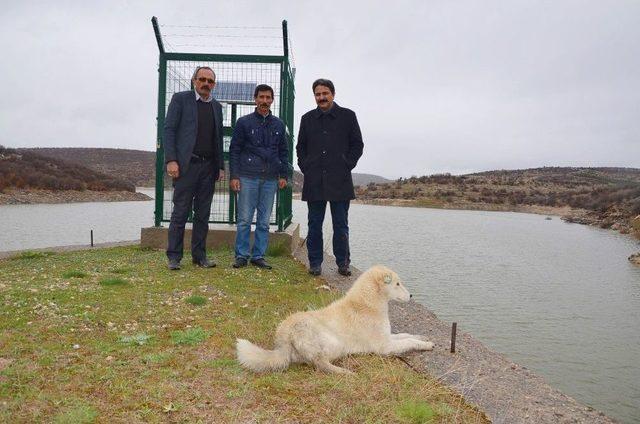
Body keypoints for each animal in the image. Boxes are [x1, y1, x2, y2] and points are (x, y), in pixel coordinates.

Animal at [236, 266, 436, 372]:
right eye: (397, 284)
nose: (411, 295)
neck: (367, 304)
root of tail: (283, 336)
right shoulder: (384, 347)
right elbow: (408, 342)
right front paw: (426, 345)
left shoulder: (387, 337)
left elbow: (406, 335)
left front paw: (424, 337)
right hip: (332, 343)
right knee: (319, 363)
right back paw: (344, 372)